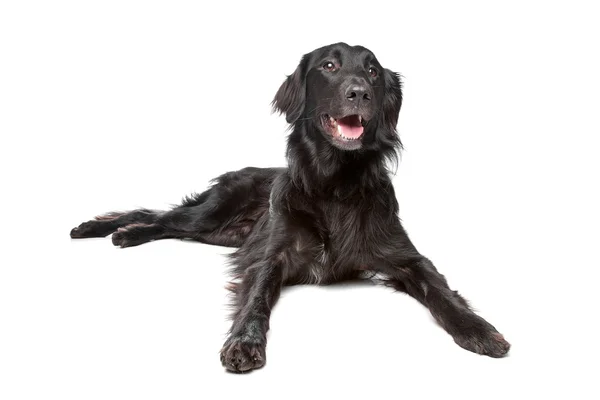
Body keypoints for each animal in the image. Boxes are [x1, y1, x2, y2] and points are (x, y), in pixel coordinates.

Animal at [71, 43, 510, 372]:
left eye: (373, 72)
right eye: (329, 66)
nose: (359, 93)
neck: (335, 185)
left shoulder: (404, 256)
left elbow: (441, 290)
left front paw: (478, 329)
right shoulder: (271, 254)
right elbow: (257, 295)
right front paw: (244, 341)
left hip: (218, 234)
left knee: (165, 221)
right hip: (211, 214)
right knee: (159, 216)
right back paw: (107, 229)